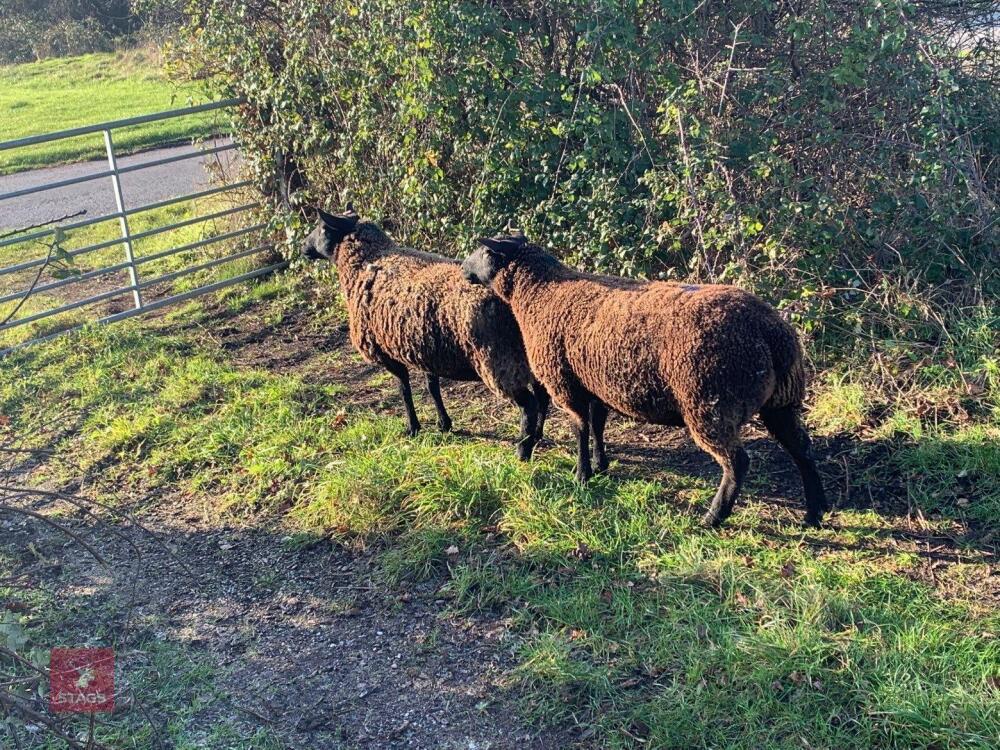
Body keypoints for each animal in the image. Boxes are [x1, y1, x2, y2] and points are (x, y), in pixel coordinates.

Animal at [300, 207, 552, 460]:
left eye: (322, 227)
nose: (303, 246)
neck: (366, 261)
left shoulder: (386, 352)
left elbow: (404, 389)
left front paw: (413, 427)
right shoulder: (425, 347)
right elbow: (432, 387)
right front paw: (444, 423)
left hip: (500, 361)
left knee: (529, 405)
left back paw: (523, 450)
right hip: (529, 354)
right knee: (543, 395)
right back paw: (537, 436)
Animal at [460, 233, 829, 527]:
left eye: (483, 250)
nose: (464, 269)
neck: (539, 293)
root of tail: (769, 330)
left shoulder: (564, 382)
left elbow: (580, 429)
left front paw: (581, 475)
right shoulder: (596, 383)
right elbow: (598, 425)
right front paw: (601, 464)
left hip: (710, 402)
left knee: (738, 463)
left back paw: (712, 518)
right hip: (781, 401)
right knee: (802, 450)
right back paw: (814, 513)